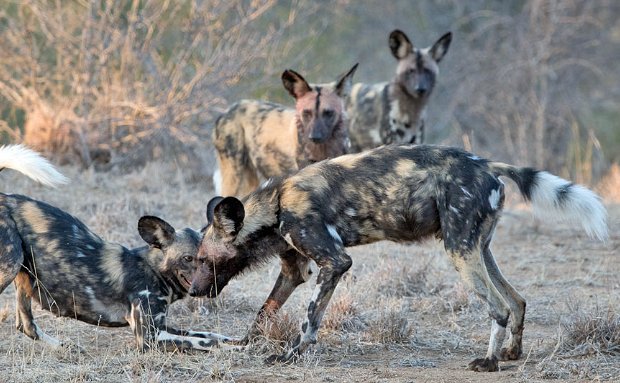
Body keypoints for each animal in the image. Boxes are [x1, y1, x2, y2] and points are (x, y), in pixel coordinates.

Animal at [0, 146, 232, 352]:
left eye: (213, 259)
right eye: (187, 258)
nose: (209, 284)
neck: (154, 271)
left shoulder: (160, 326)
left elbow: (208, 334)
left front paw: (233, 342)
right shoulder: (148, 337)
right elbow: (205, 341)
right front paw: (231, 348)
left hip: (23, 276)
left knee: (26, 325)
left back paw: (64, 347)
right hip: (10, 267)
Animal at [191, 144, 608, 372]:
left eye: (203, 260)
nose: (193, 291)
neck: (276, 203)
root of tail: (488, 164)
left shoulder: (334, 262)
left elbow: (310, 319)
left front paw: (291, 355)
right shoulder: (295, 270)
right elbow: (264, 312)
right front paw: (243, 344)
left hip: (459, 251)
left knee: (499, 306)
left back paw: (488, 363)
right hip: (477, 248)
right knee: (517, 300)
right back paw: (511, 353)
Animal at [213, 64, 358, 198]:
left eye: (328, 113)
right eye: (306, 113)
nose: (314, 137)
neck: (324, 148)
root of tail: (227, 111)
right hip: (234, 177)